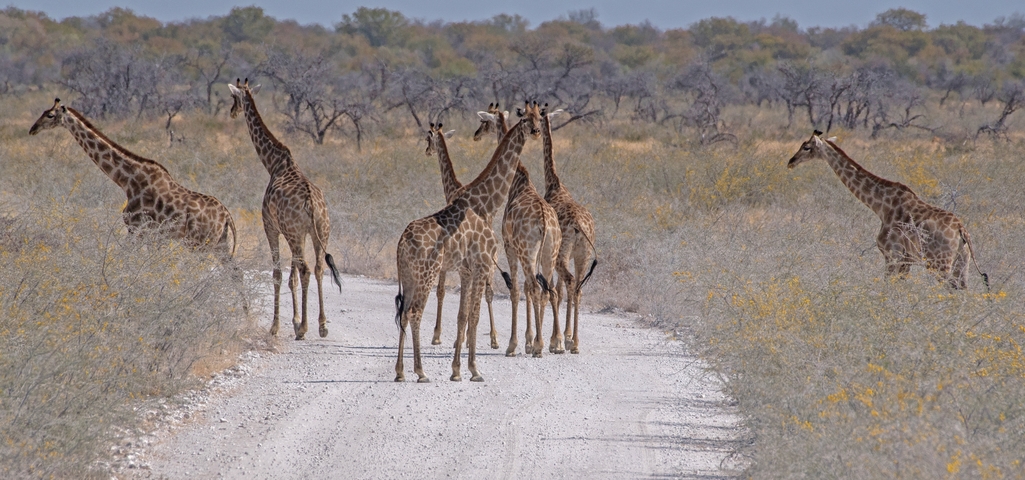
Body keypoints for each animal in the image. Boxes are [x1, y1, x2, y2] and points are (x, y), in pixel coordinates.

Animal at [28, 98, 238, 257]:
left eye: (50, 115)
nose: (32, 129)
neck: (127, 180)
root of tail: (227, 216)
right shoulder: (152, 234)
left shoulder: (136, 227)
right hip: (220, 244)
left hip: (199, 243)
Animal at [227, 79, 342, 340]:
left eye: (234, 98)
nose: (232, 112)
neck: (274, 164)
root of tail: (312, 204)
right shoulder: (296, 232)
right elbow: (291, 278)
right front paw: (295, 320)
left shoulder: (270, 226)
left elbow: (278, 274)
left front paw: (277, 326)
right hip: (320, 232)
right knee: (318, 268)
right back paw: (322, 326)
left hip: (295, 234)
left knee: (306, 269)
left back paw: (305, 328)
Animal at [423, 123, 500, 350]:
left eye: (427, 139)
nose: (427, 151)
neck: (452, 189)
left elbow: (440, 290)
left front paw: (437, 335)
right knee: (489, 291)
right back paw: (494, 338)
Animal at [787, 130, 988, 289]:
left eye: (807, 147)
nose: (791, 162)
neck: (881, 206)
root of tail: (962, 230)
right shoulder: (906, 260)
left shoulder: (892, 254)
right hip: (962, 262)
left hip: (939, 263)